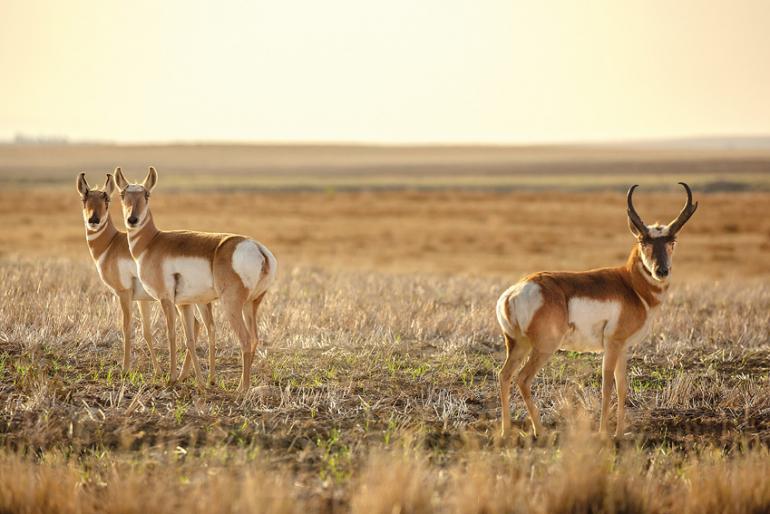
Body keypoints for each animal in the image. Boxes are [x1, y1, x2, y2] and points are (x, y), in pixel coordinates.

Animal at [77, 172, 214, 376]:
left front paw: (125, 369)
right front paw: (157, 371)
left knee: (196, 325)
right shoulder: (142, 299)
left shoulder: (124, 294)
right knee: (197, 325)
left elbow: (127, 327)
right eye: (84, 198)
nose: (94, 220)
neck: (111, 244)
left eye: (106, 199)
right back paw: (184, 375)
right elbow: (146, 332)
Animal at [111, 166, 272, 390]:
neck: (152, 242)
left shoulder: (166, 299)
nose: (132, 220)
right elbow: (189, 339)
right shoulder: (185, 303)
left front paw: (171, 378)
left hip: (231, 306)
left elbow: (171, 334)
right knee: (255, 338)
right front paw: (198, 382)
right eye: (122, 194)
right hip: (252, 304)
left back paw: (242, 390)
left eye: (147, 194)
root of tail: (257, 248)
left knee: (246, 340)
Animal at [496, 183, 700, 436]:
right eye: (643, 241)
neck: (630, 285)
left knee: (504, 375)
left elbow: (622, 387)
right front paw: (604, 432)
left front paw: (620, 433)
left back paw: (506, 432)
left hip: (518, 345)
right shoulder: (612, 344)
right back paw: (540, 432)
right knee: (523, 379)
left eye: (673, 241)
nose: (661, 271)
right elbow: (607, 386)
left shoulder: (623, 347)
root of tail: (514, 292)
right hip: (544, 348)